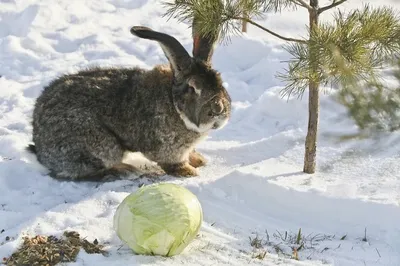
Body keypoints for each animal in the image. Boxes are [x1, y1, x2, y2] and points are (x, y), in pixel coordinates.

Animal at [27, 22, 231, 183]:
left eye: (220, 82)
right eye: (192, 88)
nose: (219, 109)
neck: (173, 102)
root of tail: (39, 145)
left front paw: (199, 160)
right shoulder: (167, 149)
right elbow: (172, 163)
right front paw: (189, 172)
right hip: (101, 145)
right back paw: (124, 171)